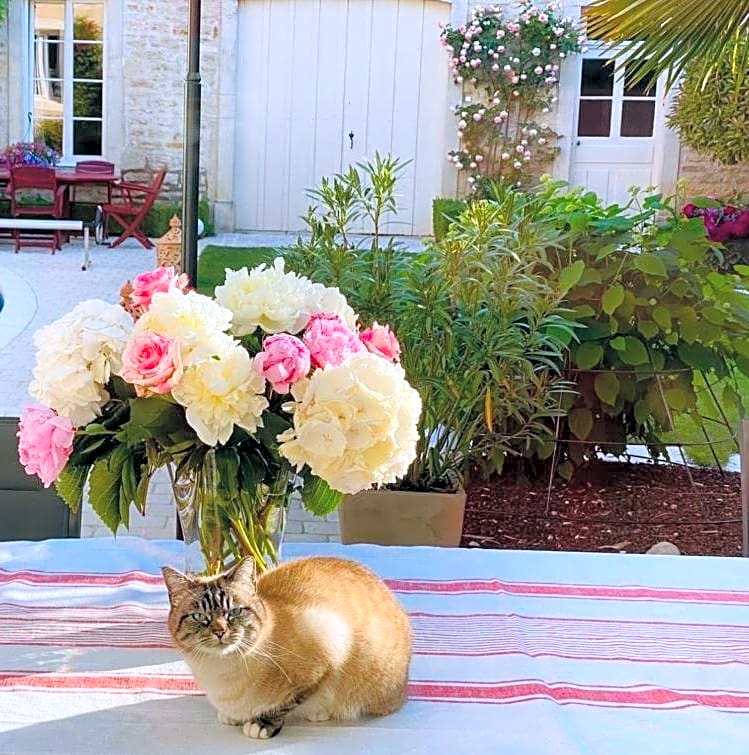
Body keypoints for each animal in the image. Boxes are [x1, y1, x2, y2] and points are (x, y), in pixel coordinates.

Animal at [161, 556, 412, 740]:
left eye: (234, 612)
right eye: (199, 617)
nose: (220, 631)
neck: (219, 670)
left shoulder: (327, 649)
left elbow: (286, 702)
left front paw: (261, 724)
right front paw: (233, 717)